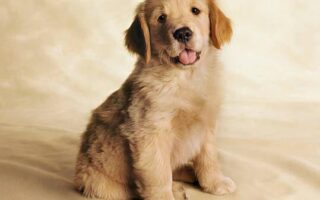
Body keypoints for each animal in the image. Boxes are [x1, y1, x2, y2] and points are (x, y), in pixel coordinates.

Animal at [74, 0, 235, 199]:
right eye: (161, 18)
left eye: (195, 10)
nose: (183, 33)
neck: (184, 77)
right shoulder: (150, 132)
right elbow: (158, 174)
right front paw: (166, 194)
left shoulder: (206, 123)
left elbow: (209, 157)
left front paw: (215, 183)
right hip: (104, 185)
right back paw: (177, 187)